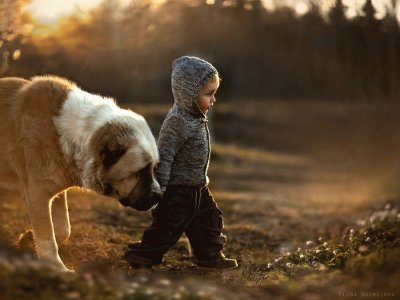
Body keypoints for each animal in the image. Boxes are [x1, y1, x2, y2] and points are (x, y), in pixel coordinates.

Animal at [0, 75, 162, 272]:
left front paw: (29, 238)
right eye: (140, 172)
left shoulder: (54, 190)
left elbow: (63, 228)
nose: (159, 196)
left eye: (154, 168)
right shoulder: (36, 193)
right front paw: (57, 268)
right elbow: (47, 237)